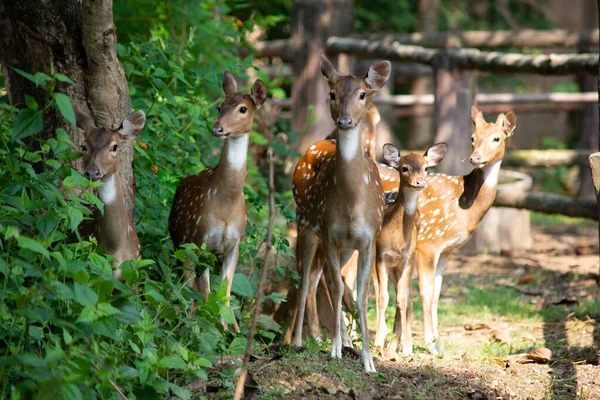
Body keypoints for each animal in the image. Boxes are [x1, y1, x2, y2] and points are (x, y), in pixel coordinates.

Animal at [166, 71, 264, 328]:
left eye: (243, 109)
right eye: (220, 106)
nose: (218, 129)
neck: (226, 208)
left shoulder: (234, 244)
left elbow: (225, 295)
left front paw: (231, 329)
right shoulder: (198, 238)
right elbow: (205, 292)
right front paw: (203, 327)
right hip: (183, 243)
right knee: (189, 285)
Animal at [292, 54, 392, 374]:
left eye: (362, 94)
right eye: (332, 94)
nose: (345, 121)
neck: (351, 204)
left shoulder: (367, 239)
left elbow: (361, 294)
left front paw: (368, 360)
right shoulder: (329, 233)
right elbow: (336, 288)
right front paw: (335, 349)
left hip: (343, 245)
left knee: (317, 278)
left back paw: (346, 342)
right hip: (306, 224)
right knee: (306, 280)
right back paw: (297, 341)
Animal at [372, 141, 448, 356]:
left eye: (426, 168)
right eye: (404, 168)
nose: (420, 182)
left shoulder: (407, 258)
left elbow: (402, 299)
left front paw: (407, 347)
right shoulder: (381, 256)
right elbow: (383, 298)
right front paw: (378, 341)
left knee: (407, 297)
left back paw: (397, 344)